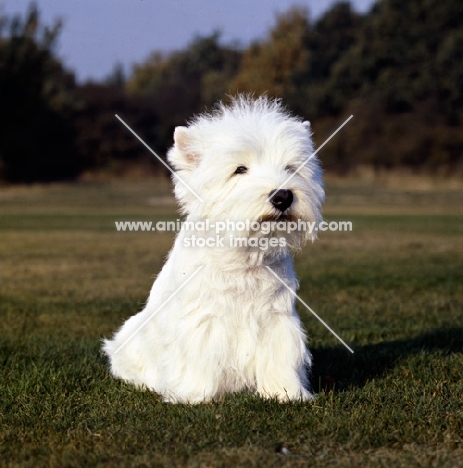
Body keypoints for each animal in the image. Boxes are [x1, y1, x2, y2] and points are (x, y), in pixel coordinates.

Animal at [103, 94, 324, 402]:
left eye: (290, 168)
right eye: (240, 169)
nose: (282, 196)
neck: (244, 260)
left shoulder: (277, 320)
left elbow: (279, 360)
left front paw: (286, 393)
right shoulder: (202, 320)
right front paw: (194, 396)